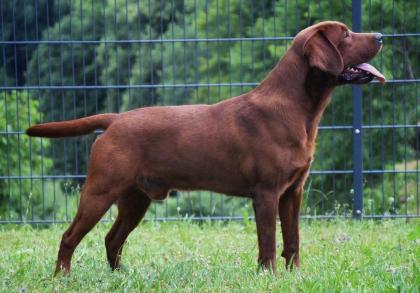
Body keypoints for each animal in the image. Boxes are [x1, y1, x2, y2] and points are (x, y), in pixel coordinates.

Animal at [26, 21, 386, 274]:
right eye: (346, 35)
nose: (381, 36)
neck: (297, 109)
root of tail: (115, 119)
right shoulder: (266, 192)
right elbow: (269, 242)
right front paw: (269, 276)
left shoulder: (293, 191)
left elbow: (293, 240)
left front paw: (295, 275)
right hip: (100, 191)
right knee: (69, 237)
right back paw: (62, 278)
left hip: (135, 198)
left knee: (112, 239)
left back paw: (120, 276)